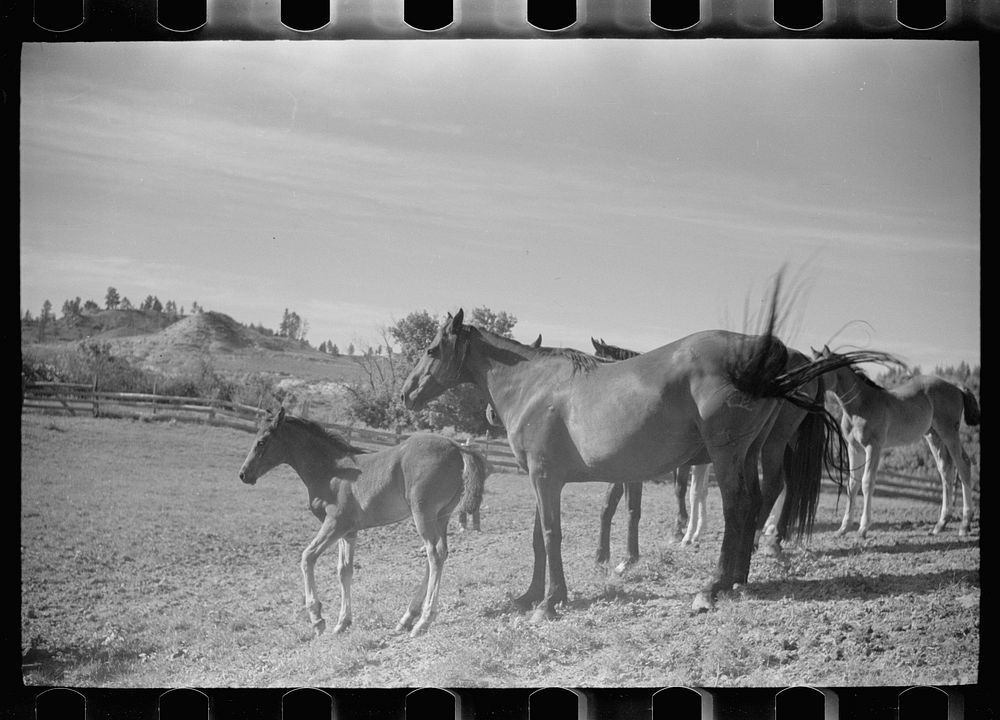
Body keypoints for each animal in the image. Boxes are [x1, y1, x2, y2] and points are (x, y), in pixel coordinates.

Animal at [242, 408, 492, 640]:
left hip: (423, 512)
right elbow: (344, 570)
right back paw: (407, 618)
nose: (244, 474)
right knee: (438, 555)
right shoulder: (348, 532)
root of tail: (457, 447)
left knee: (435, 553)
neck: (332, 471)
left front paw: (317, 619)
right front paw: (342, 623)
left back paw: (423, 621)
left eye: (262, 441)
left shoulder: (335, 523)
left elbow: (307, 557)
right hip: (442, 516)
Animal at [402, 286, 880, 612]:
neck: (534, 384)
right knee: (756, 501)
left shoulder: (546, 478)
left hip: (728, 456)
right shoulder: (543, 480)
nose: (406, 393)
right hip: (748, 452)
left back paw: (715, 584)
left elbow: (554, 535)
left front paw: (551, 602)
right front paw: (529, 596)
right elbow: (540, 538)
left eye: (431, 348)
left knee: (739, 506)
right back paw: (739, 577)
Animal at [812, 346, 976, 536]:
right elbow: (852, 484)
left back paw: (964, 525)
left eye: (821, 368)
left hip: (949, 432)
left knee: (963, 465)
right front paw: (843, 529)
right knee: (946, 470)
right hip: (933, 436)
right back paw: (940, 525)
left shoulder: (873, 447)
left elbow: (867, 482)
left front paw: (863, 528)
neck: (861, 405)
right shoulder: (854, 447)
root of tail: (957, 387)